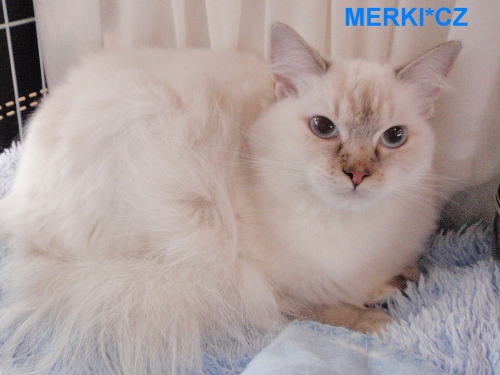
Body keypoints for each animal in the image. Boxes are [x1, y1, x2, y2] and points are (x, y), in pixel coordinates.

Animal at [0, 24, 460, 375]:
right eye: (323, 127)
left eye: (394, 137)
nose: (358, 175)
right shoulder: (259, 281)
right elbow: (319, 305)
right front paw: (377, 317)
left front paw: (401, 280)